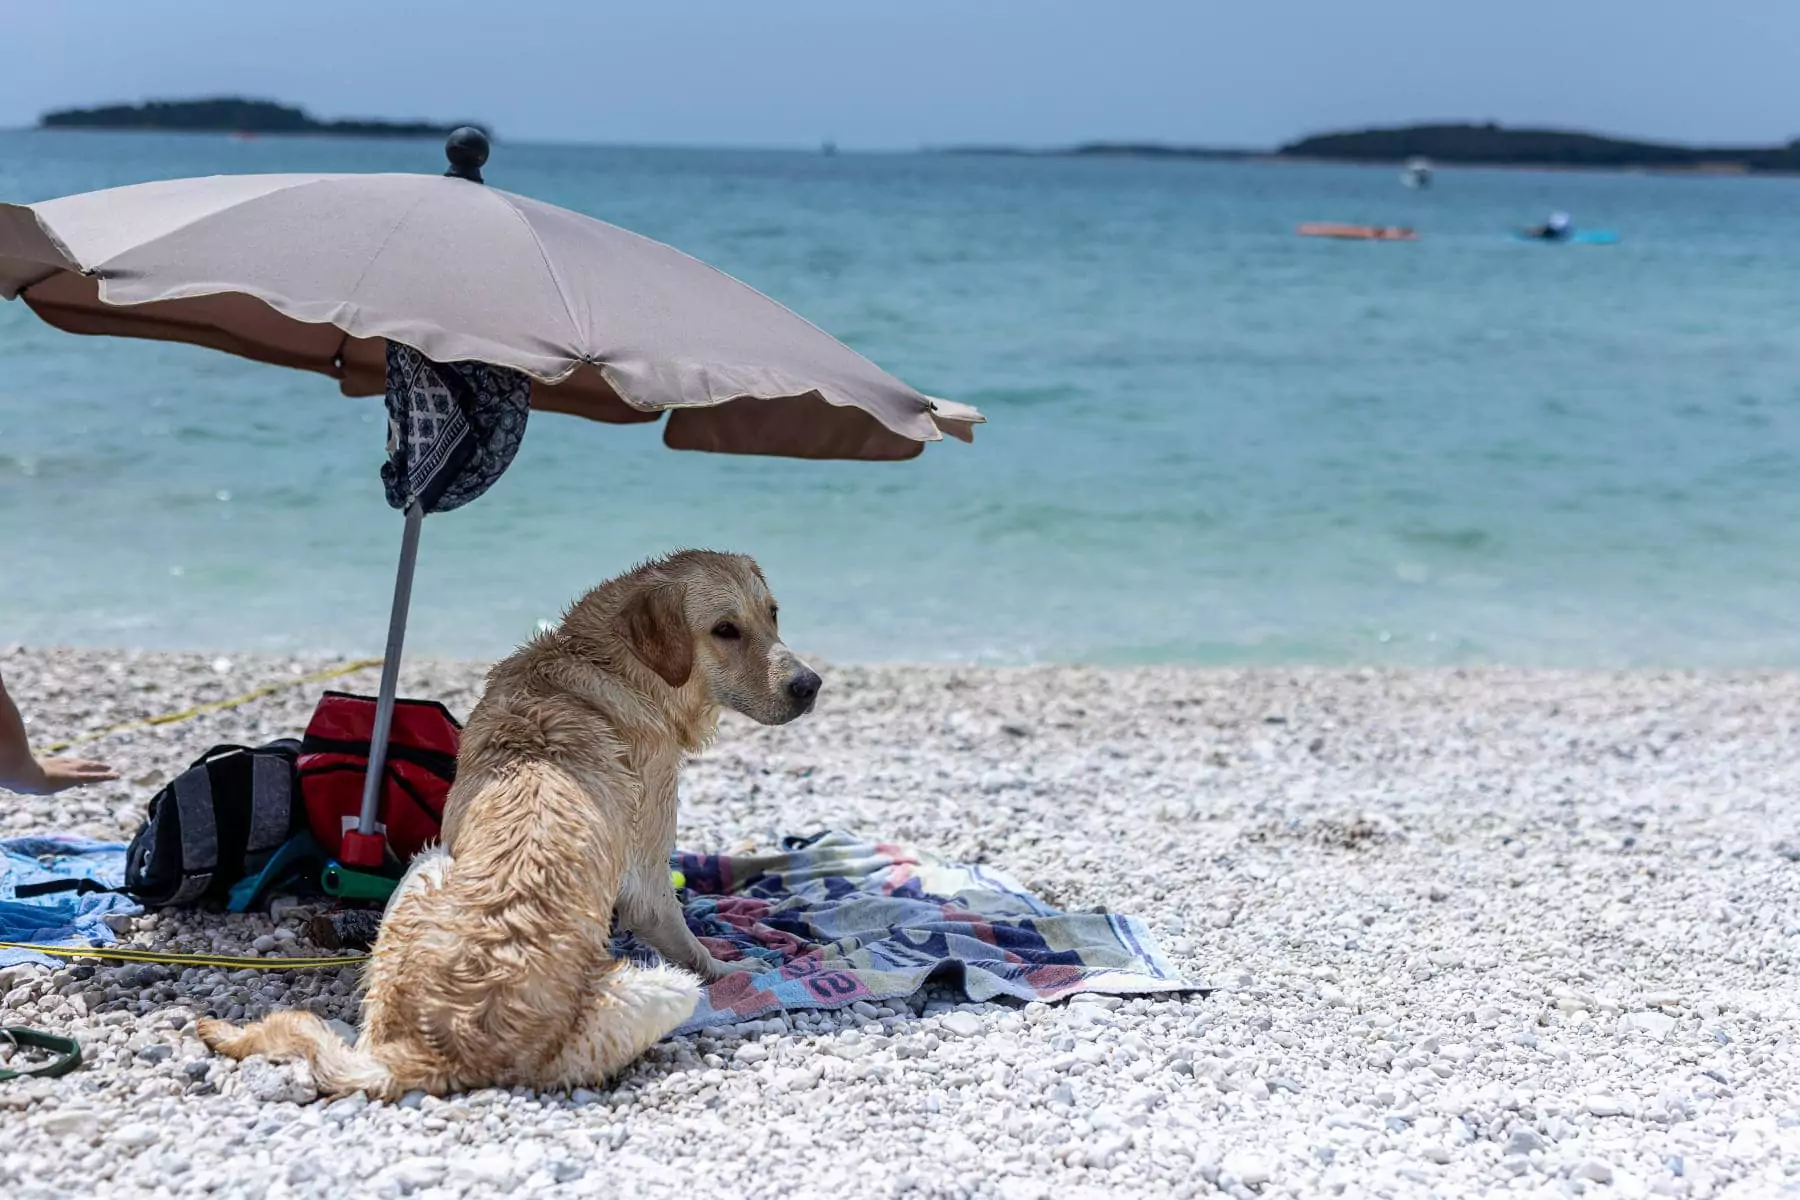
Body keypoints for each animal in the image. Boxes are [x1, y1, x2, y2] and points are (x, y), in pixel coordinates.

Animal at [198, 554, 824, 1101]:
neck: (608, 664)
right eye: (725, 630)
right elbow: (682, 934)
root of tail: (432, 1053)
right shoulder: (648, 865)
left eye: (772, 613)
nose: (810, 684)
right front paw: (730, 966)